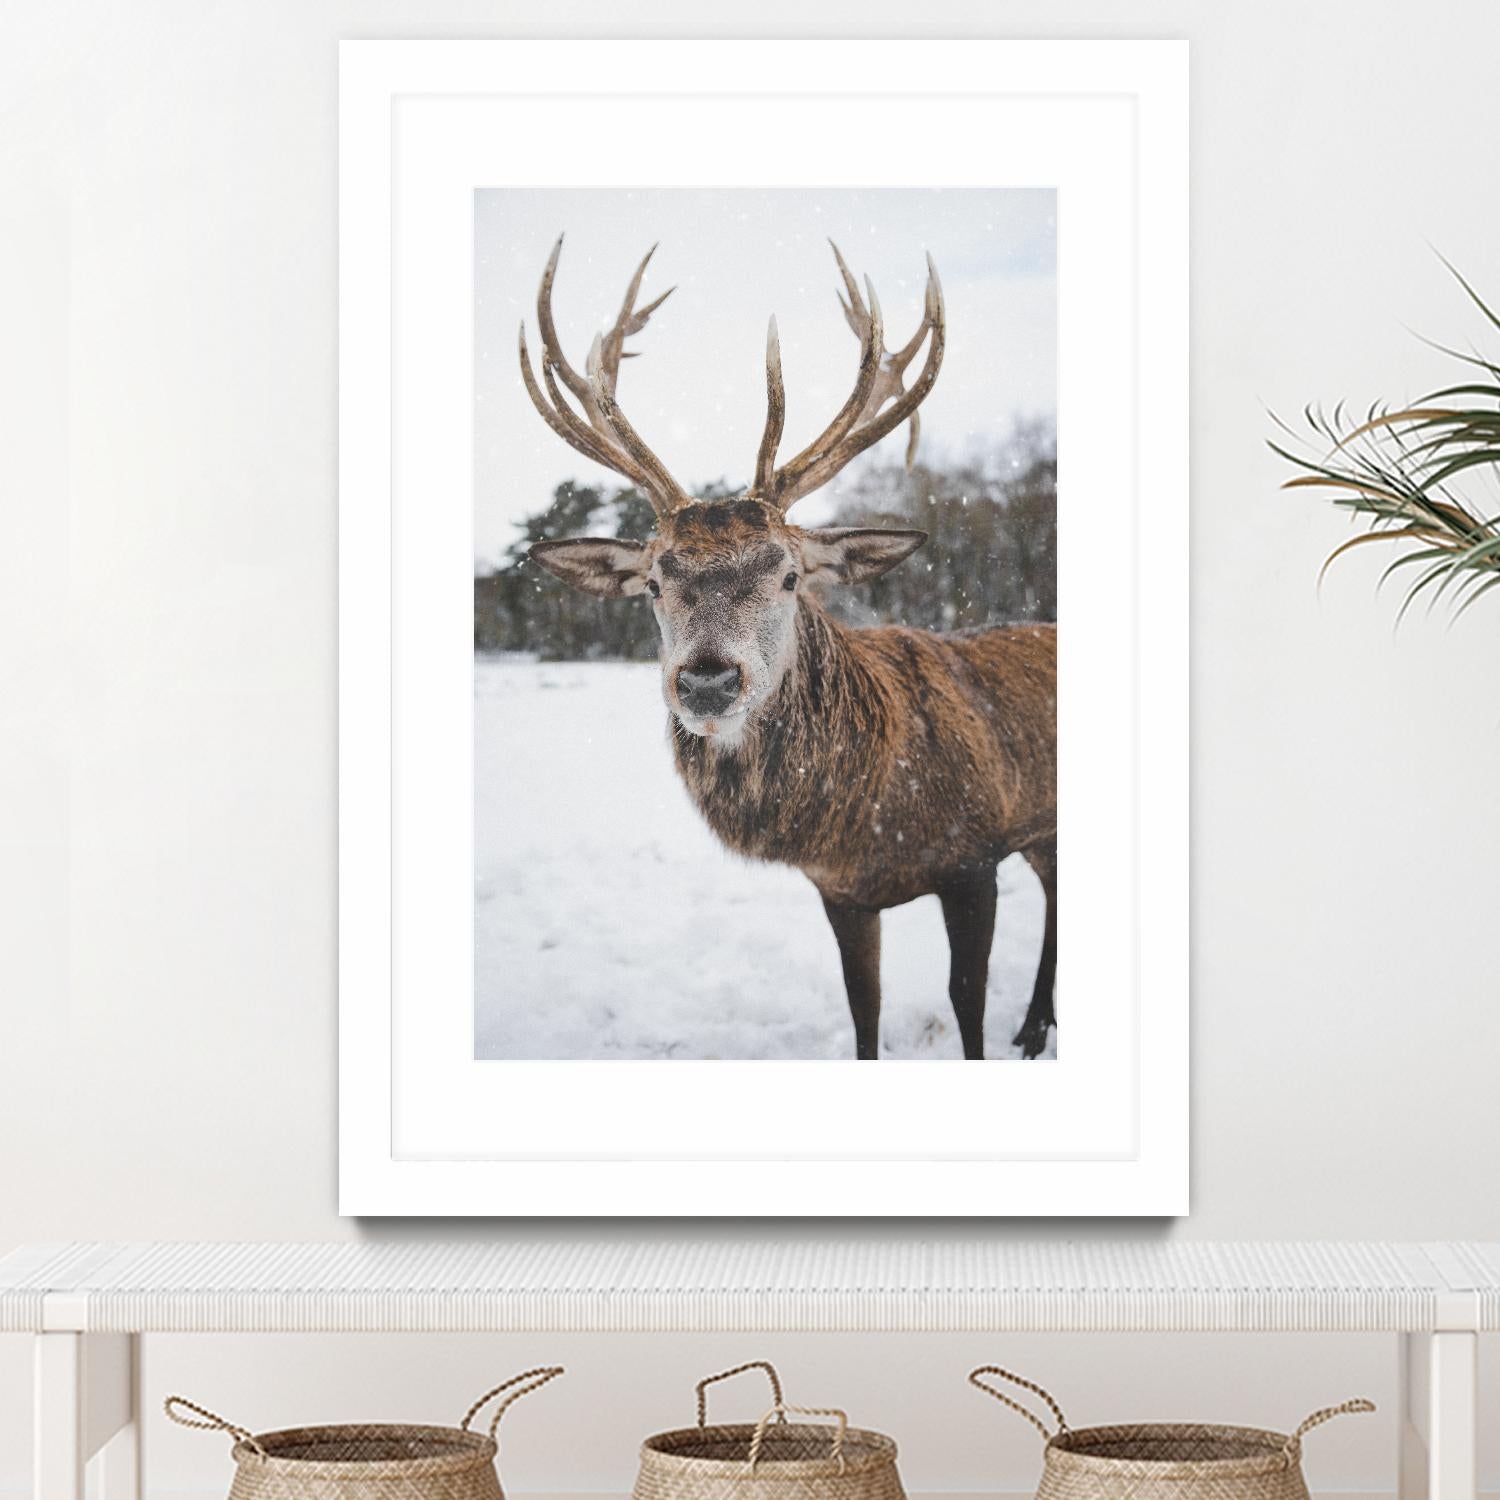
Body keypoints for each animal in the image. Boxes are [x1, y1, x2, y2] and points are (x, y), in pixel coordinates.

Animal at [519, 236, 1056, 1060]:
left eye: (790, 574)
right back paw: (1033, 1024)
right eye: (653, 582)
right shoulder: (839, 892)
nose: (708, 682)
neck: (870, 820)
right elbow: (863, 1008)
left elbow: (966, 1004)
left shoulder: (975, 857)